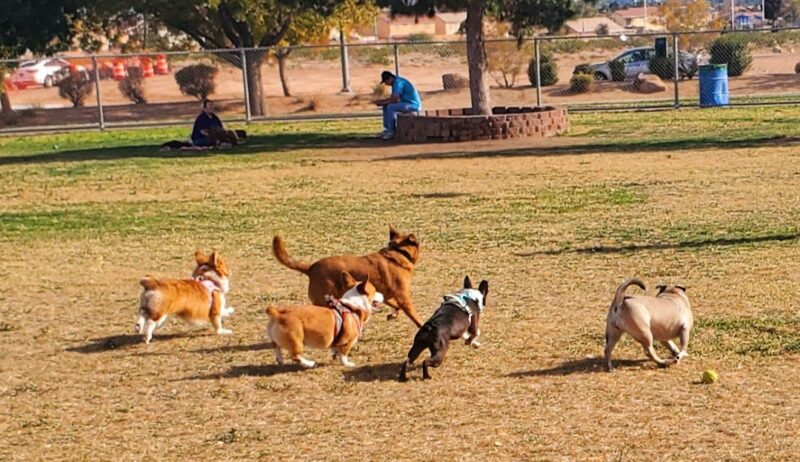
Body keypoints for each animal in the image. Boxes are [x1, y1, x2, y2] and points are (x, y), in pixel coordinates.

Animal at [274, 226, 424, 326]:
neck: (398, 252)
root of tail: (311, 268)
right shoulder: (403, 298)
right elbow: (415, 317)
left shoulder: (387, 296)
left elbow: (395, 306)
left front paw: (392, 315)